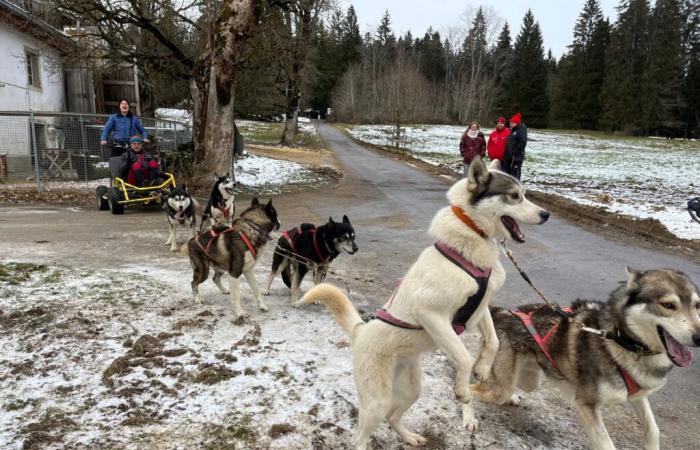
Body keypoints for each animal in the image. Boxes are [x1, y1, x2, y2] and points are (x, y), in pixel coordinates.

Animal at [298, 156, 548, 448]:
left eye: (524, 194)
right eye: (514, 196)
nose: (546, 215)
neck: (470, 241)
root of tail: (362, 329)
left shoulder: (481, 306)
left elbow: (493, 341)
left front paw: (483, 368)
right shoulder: (432, 315)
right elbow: (463, 357)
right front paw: (462, 389)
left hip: (412, 389)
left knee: (393, 418)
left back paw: (410, 437)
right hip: (376, 402)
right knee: (361, 436)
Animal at [464, 268, 700, 450]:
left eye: (697, 305)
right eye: (668, 305)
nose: (699, 337)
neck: (621, 339)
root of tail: (502, 311)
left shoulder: (637, 395)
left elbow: (653, 430)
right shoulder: (586, 405)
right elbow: (606, 444)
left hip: (530, 380)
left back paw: (511, 396)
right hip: (500, 389)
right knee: (471, 388)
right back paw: (469, 417)